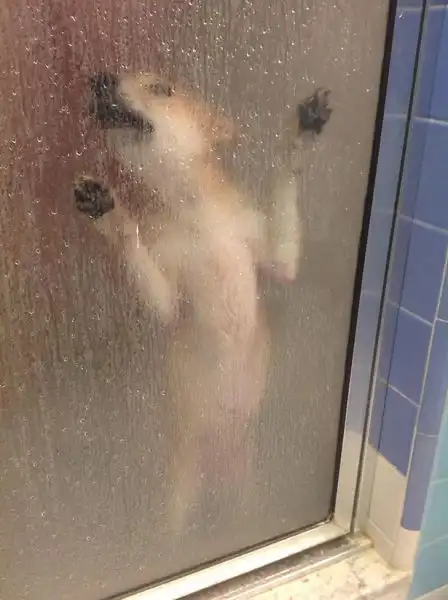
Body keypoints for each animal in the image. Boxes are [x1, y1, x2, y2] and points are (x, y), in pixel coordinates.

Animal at [73, 72, 332, 531]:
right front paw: (109, 212)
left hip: (247, 489)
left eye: (161, 88)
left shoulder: (275, 258)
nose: (99, 78)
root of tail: (218, 469)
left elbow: (285, 180)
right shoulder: (166, 292)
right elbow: (137, 254)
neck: (195, 214)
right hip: (179, 494)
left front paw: (300, 135)